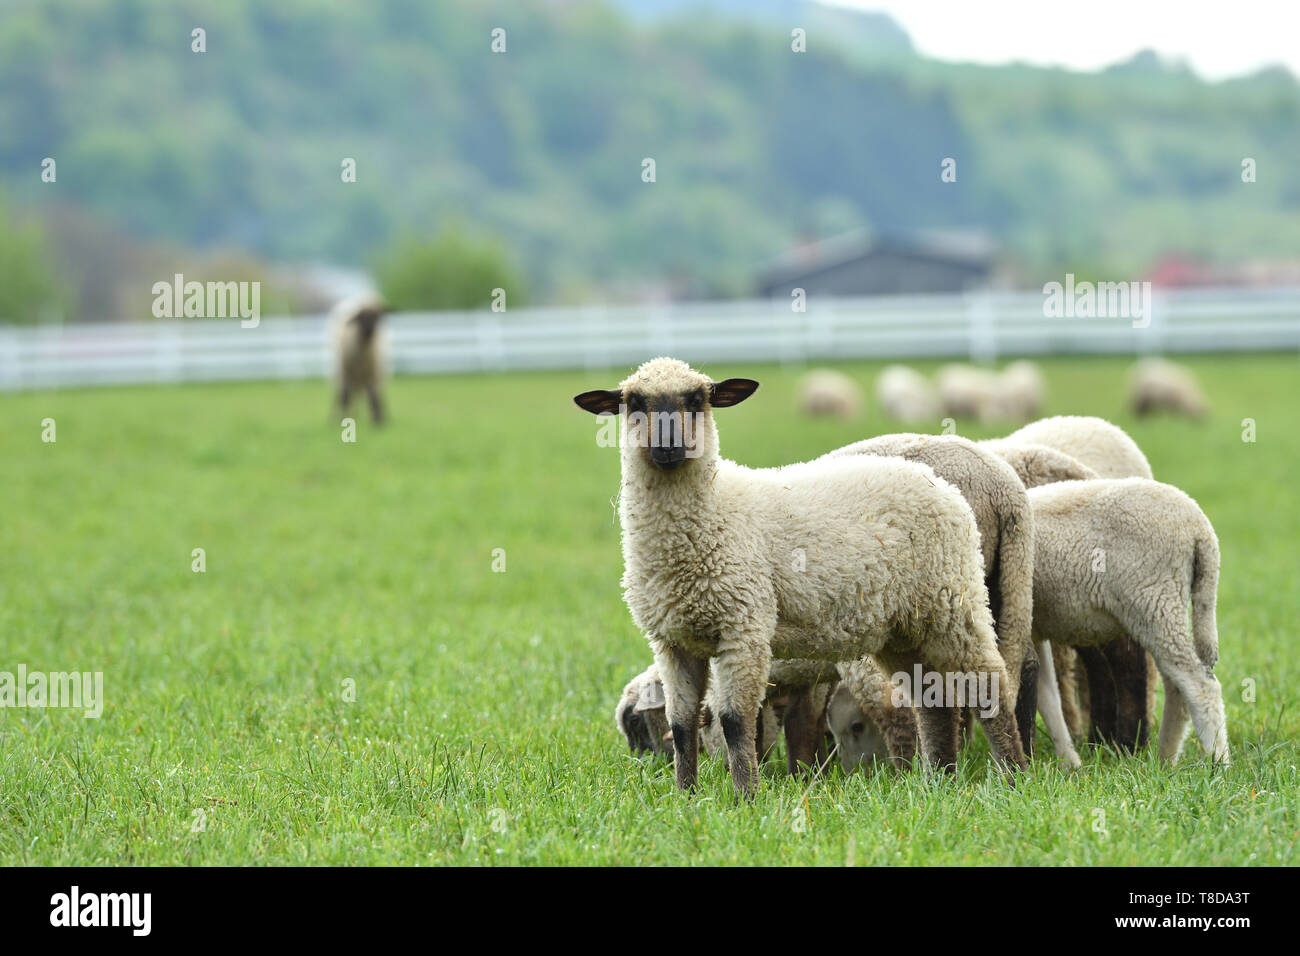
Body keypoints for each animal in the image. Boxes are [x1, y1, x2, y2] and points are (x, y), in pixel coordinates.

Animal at [331, 296, 389, 424]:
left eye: (377, 316)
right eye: (361, 317)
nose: (370, 328)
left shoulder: (373, 373)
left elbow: (374, 397)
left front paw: (378, 421)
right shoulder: (346, 373)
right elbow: (344, 397)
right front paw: (342, 418)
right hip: (341, 374)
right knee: (342, 396)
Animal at [1025, 478, 1227, 766]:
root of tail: (1201, 529)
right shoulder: (1031, 627)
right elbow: (1047, 694)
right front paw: (1069, 763)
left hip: (1155, 600)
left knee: (1201, 686)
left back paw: (1218, 763)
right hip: (1161, 609)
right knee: (1177, 686)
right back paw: (1166, 759)